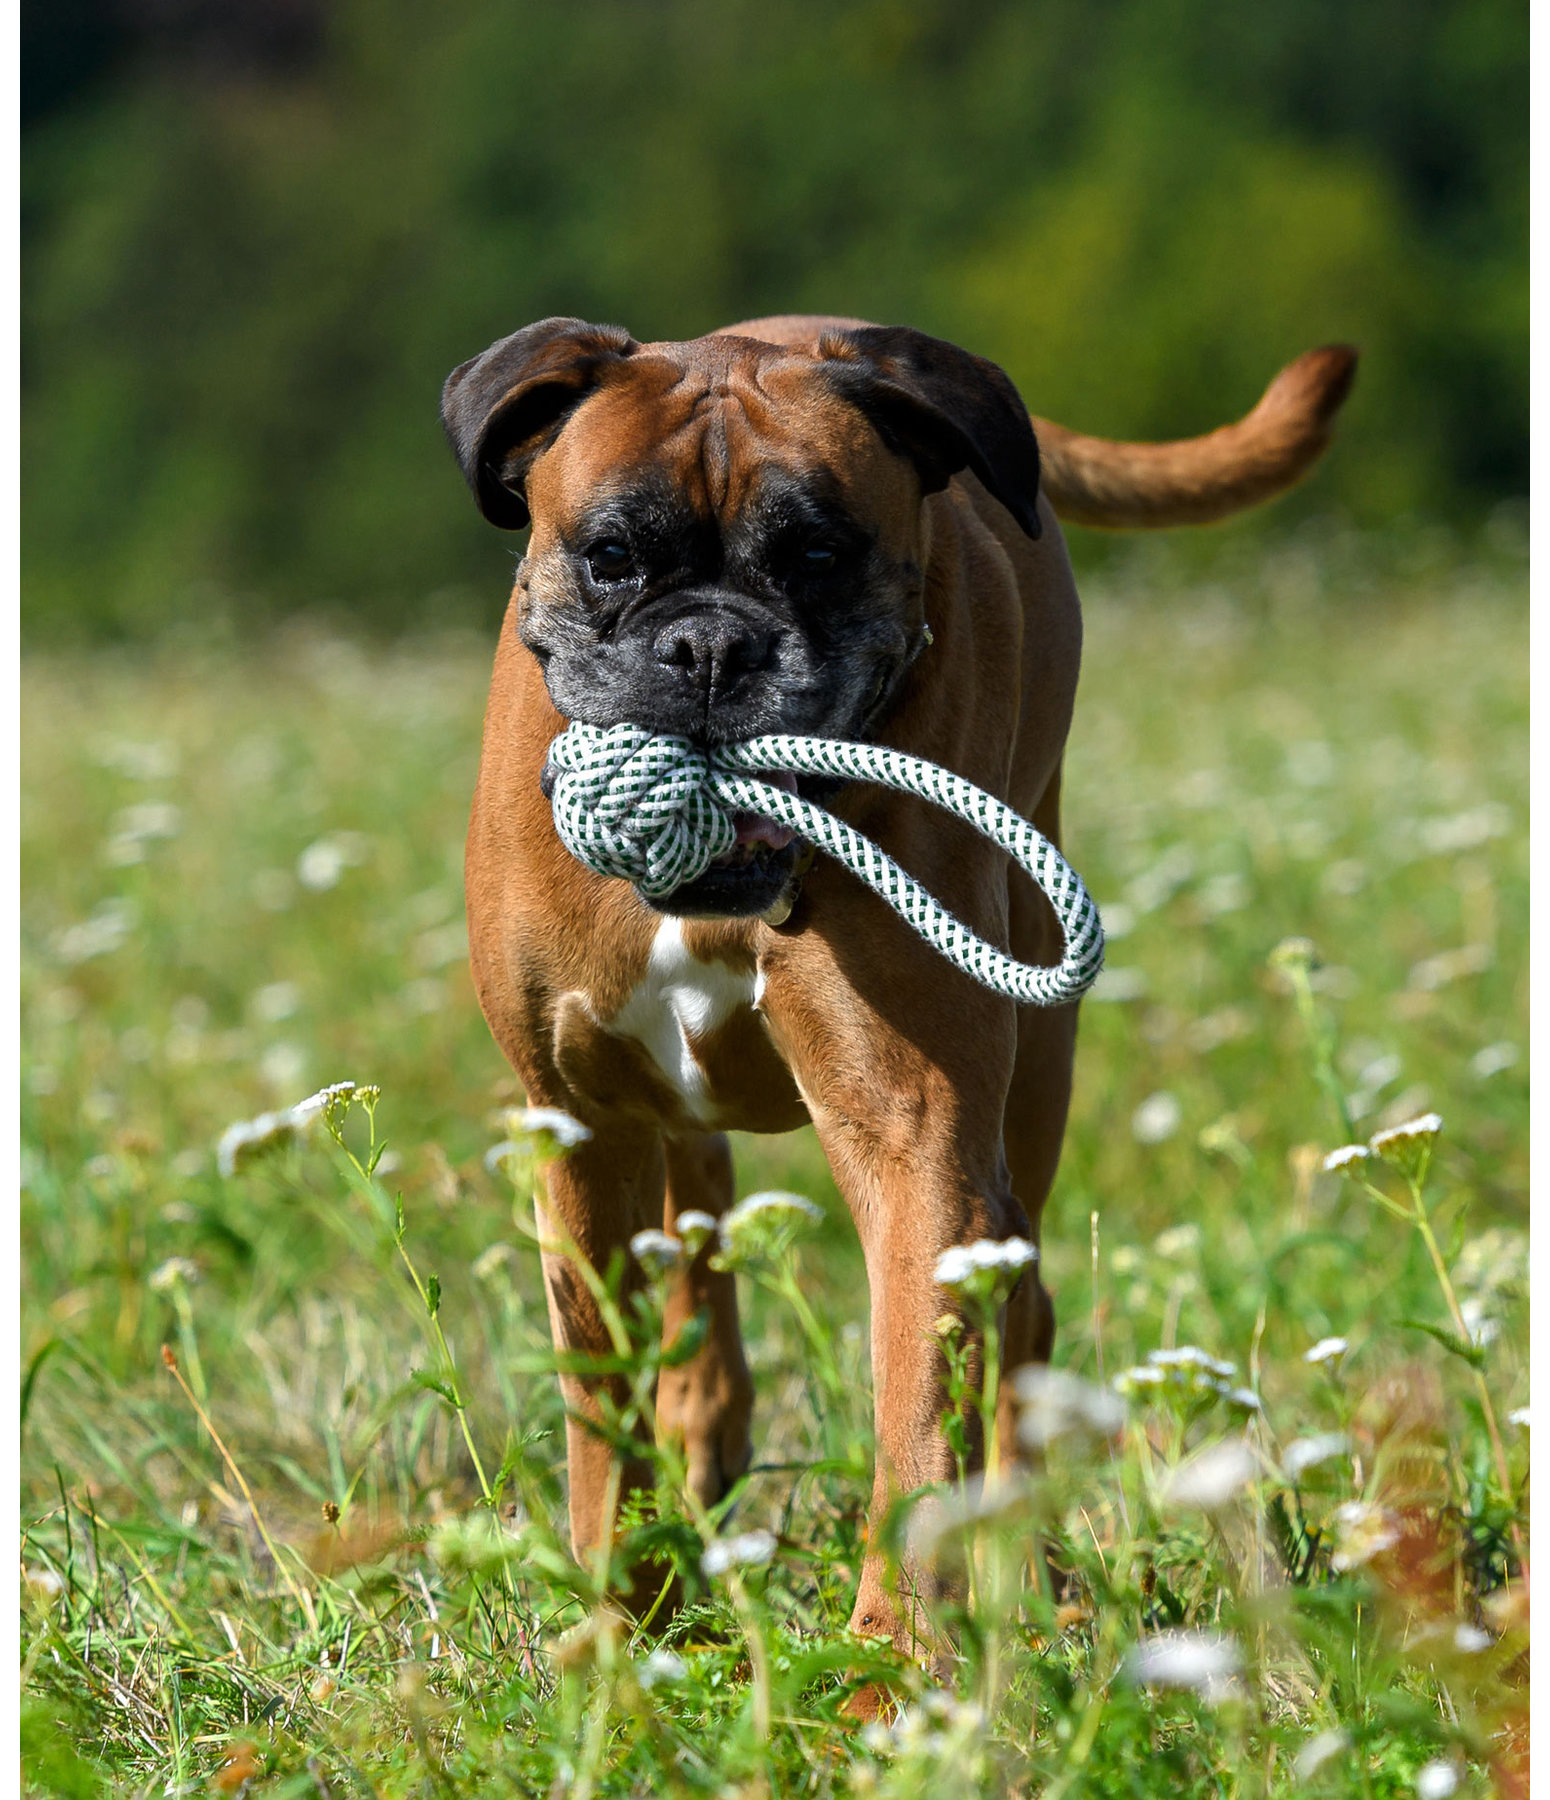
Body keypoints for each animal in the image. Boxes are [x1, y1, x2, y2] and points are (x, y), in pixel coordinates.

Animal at [439, 313, 1353, 1656]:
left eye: (819, 553)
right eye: (610, 555)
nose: (708, 644)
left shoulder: (916, 1131)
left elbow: (918, 1417)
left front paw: (887, 1665)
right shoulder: (579, 1130)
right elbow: (601, 1411)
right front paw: (619, 1637)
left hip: (1031, 1079)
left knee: (1018, 1314)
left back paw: (1029, 1583)